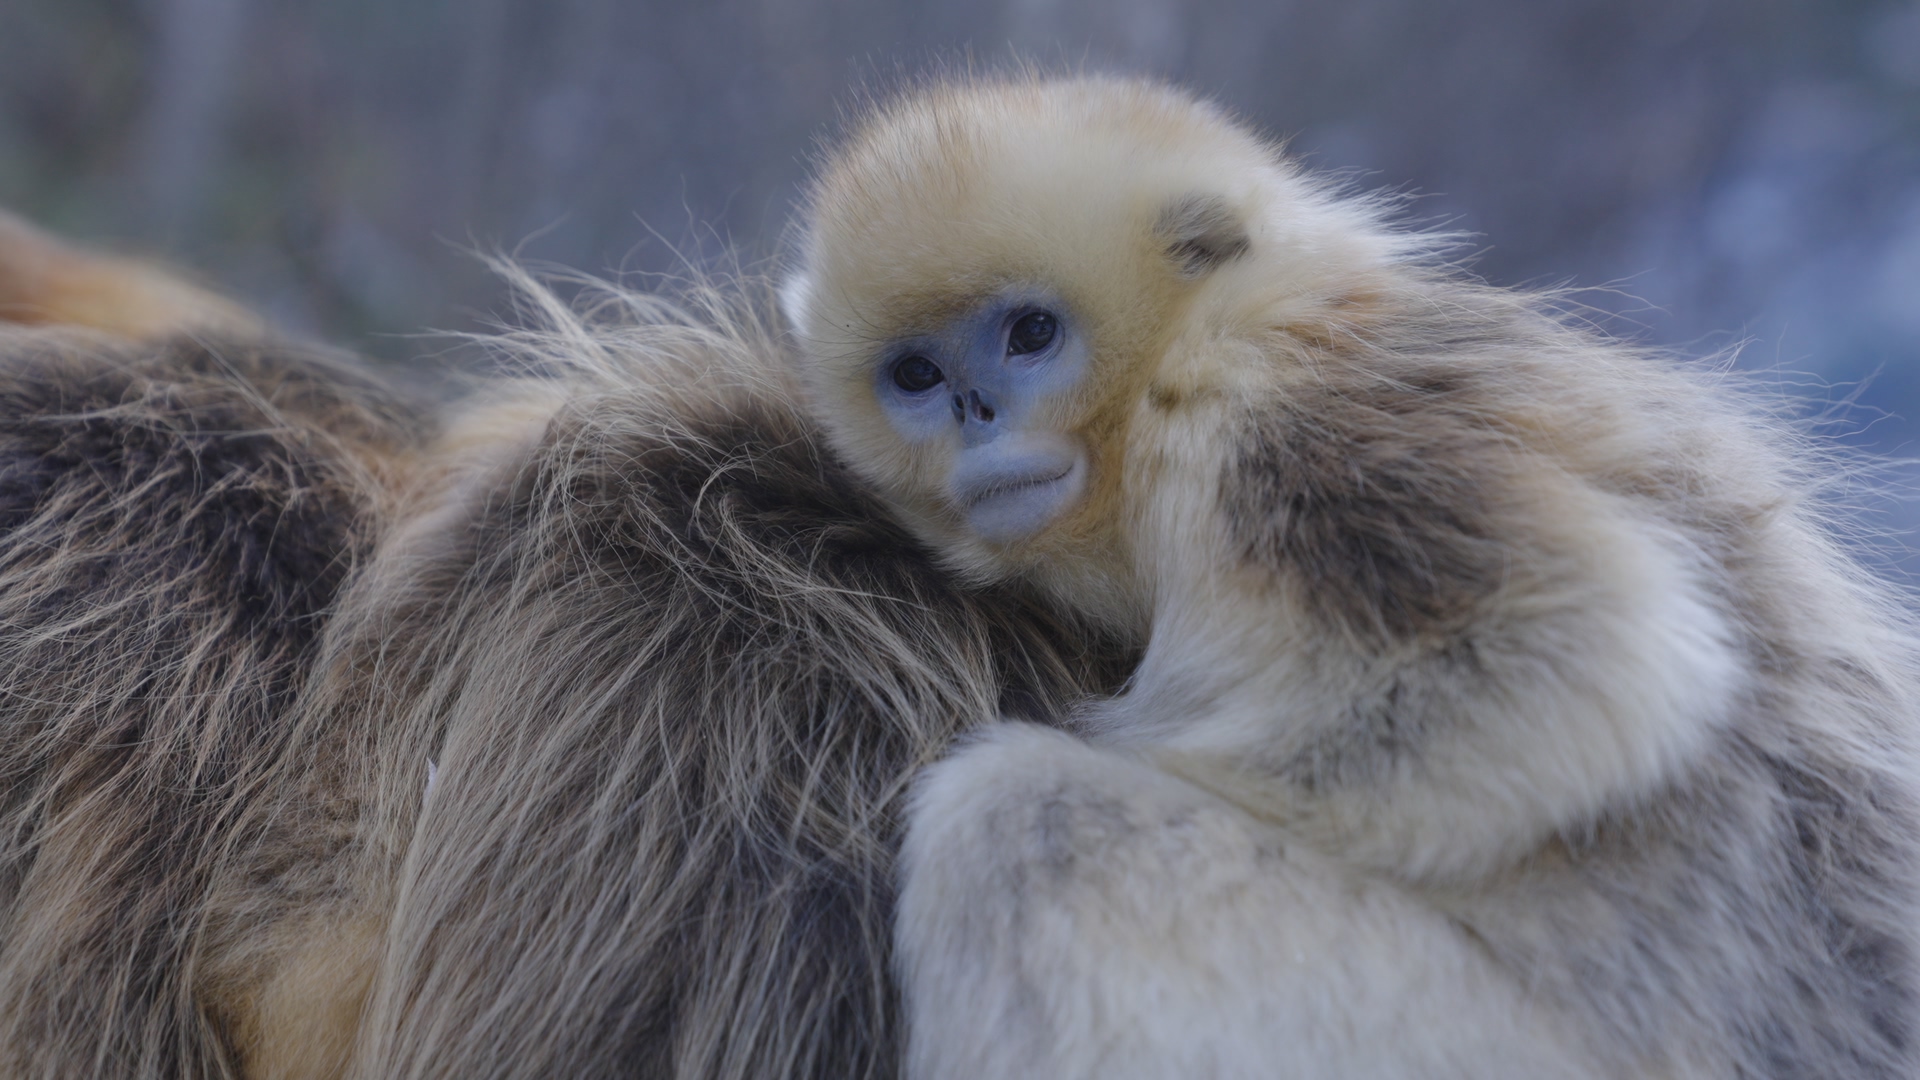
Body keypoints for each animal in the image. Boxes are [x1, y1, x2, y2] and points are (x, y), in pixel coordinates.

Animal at [779, 74, 1920, 1079]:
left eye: (1030, 334)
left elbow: (1583, 659)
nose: (974, 411)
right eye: (916, 374)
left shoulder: (1266, 421)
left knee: (1013, 824)